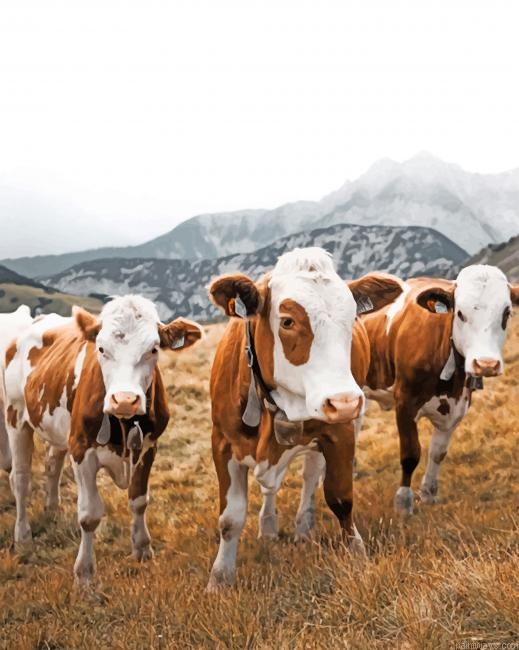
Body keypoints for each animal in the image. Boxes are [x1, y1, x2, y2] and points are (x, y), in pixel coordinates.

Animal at [3, 295, 203, 583]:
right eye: (101, 348)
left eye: (153, 349)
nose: (125, 400)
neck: (123, 423)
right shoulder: (81, 450)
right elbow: (89, 515)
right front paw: (84, 573)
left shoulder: (148, 448)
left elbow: (139, 500)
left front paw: (142, 549)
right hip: (16, 416)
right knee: (20, 479)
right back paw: (23, 536)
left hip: (57, 430)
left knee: (52, 465)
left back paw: (52, 510)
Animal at [206, 247, 403, 591]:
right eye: (287, 321)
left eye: (352, 318)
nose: (344, 401)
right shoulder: (222, 442)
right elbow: (230, 518)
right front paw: (220, 579)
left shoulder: (340, 431)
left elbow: (340, 498)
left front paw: (356, 553)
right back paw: (269, 526)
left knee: (311, 476)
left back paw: (303, 526)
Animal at [360, 264, 519, 514]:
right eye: (460, 313)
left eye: (507, 313)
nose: (486, 364)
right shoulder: (405, 402)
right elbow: (410, 454)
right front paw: (403, 501)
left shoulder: (457, 406)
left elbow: (438, 453)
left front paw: (428, 493)